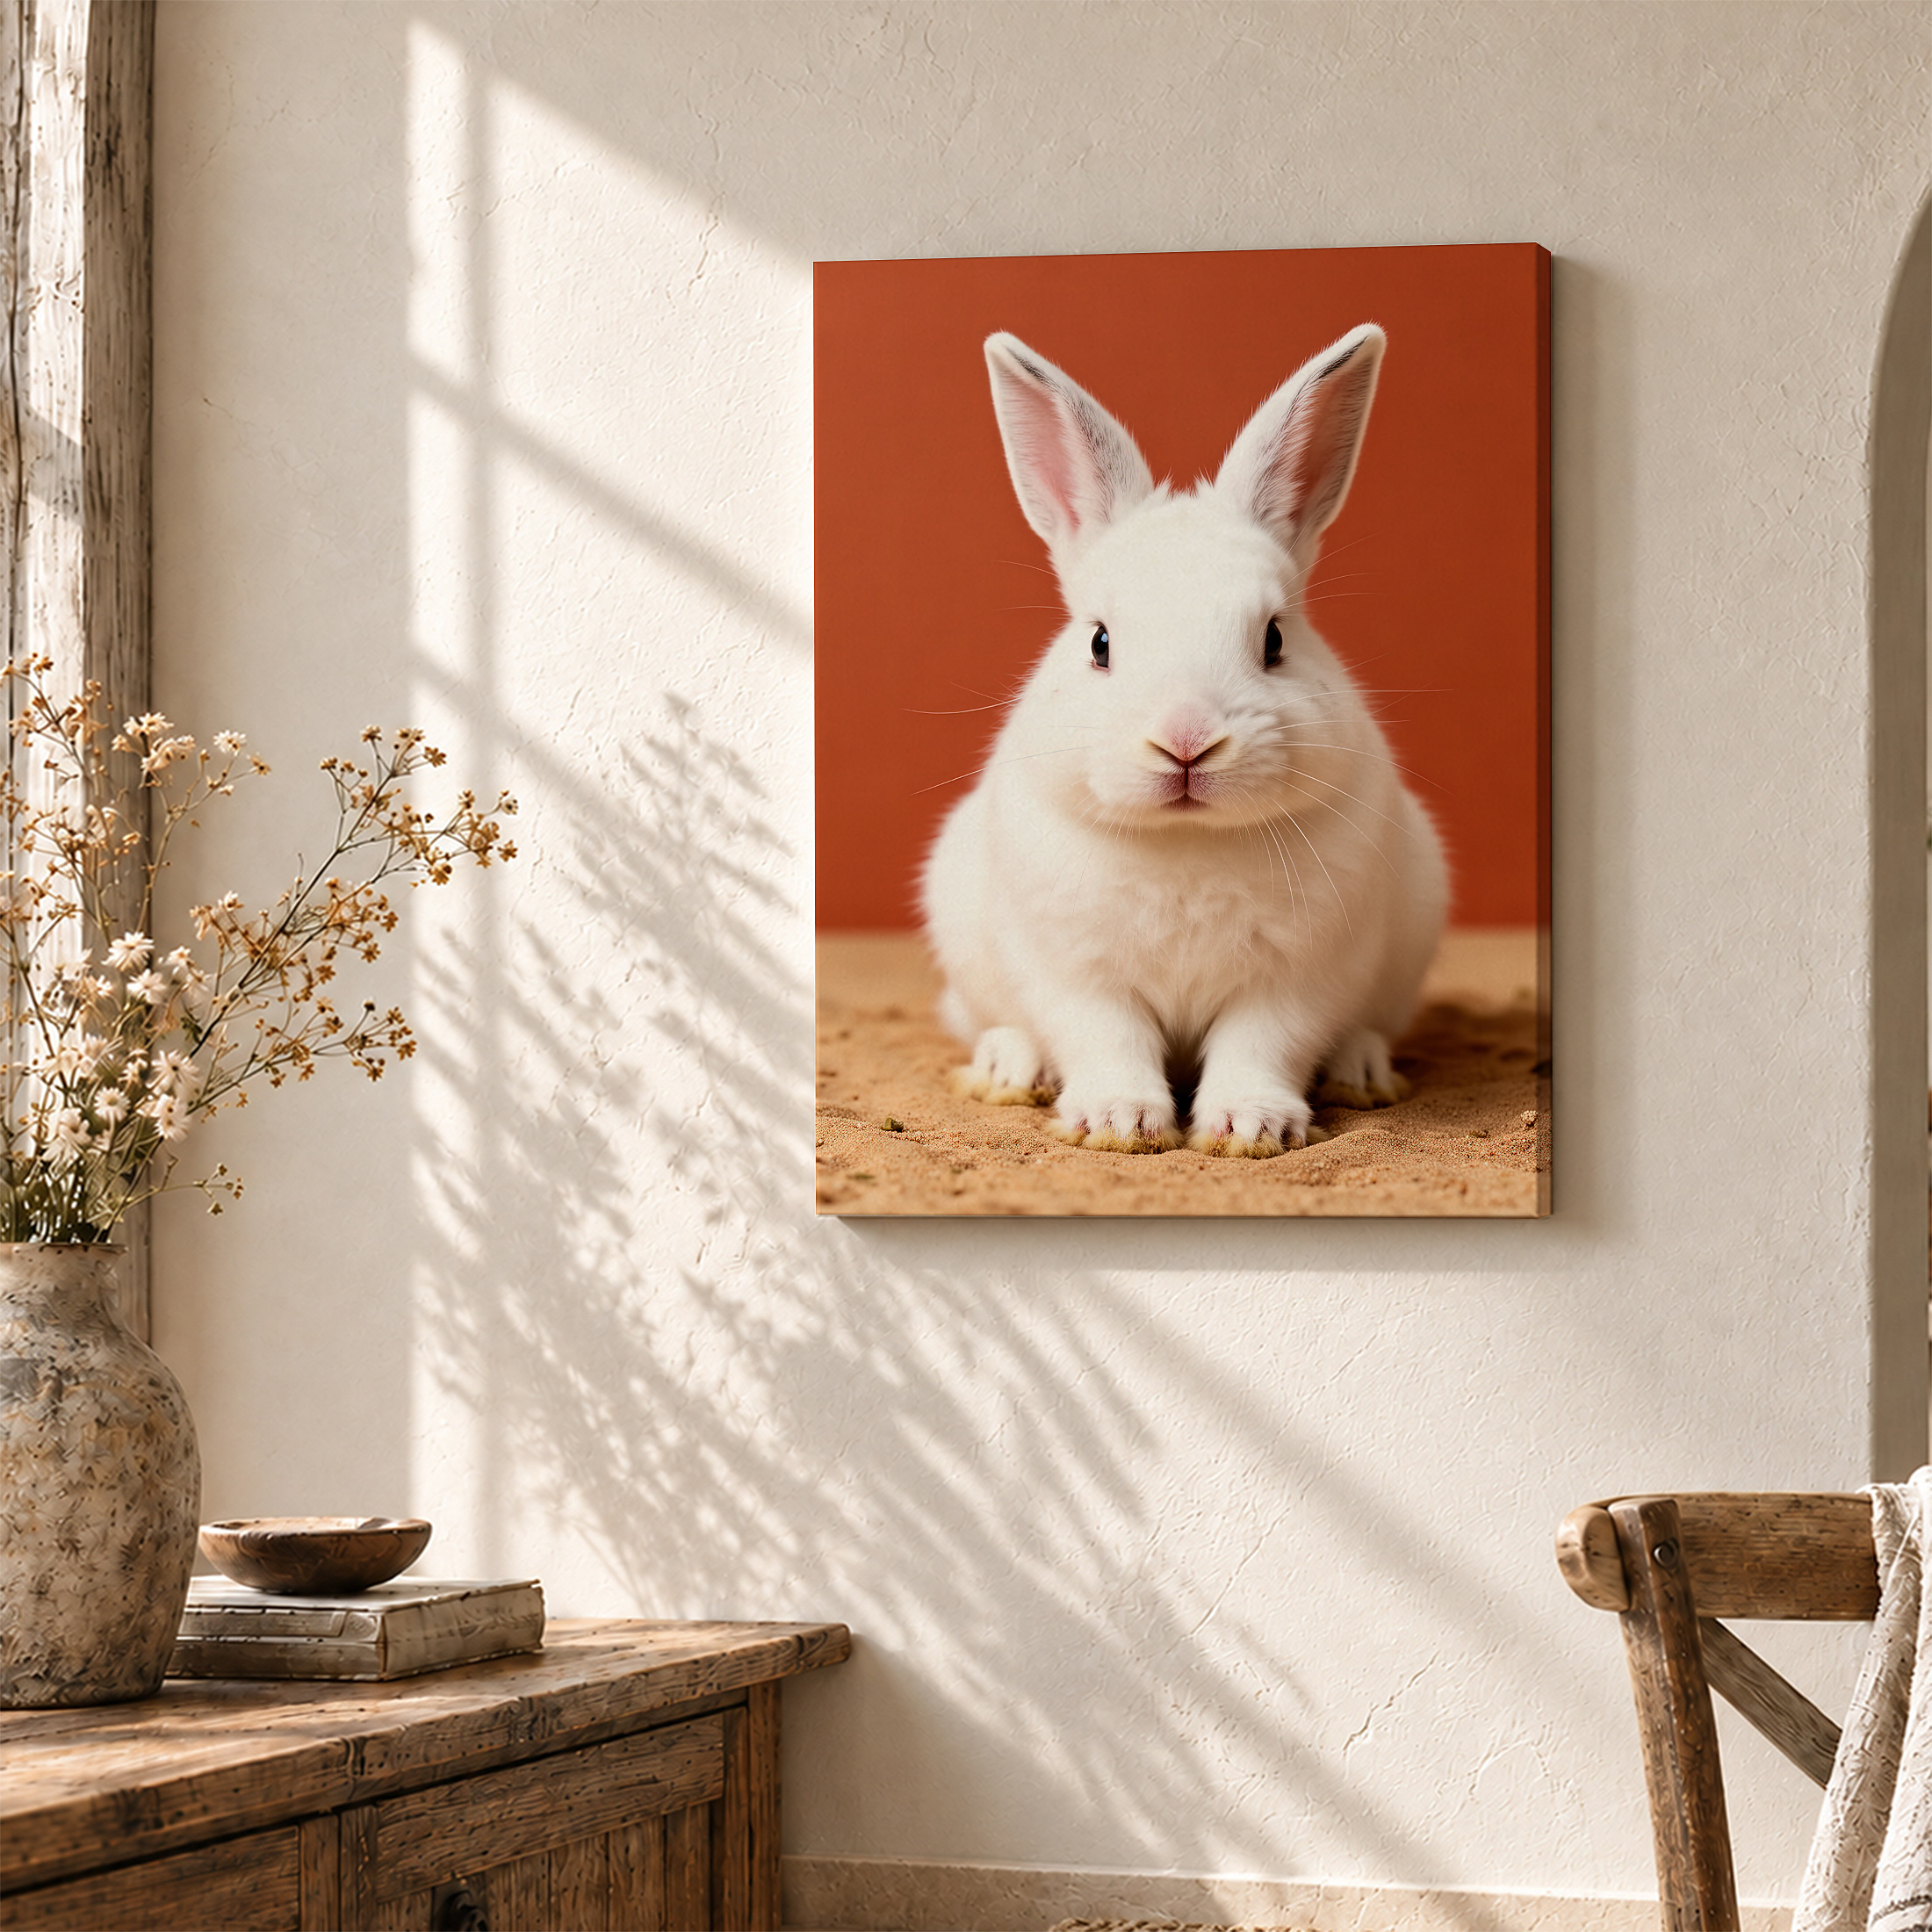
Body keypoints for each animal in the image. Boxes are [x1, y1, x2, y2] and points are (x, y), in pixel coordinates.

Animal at [920, 322, 1447, 1157]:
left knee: (1360, 1031)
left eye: (1274, 640)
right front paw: (1118, 1122)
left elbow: (1262, 1045)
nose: (1187, 741)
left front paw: (1250, 1127)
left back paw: (1361, 1074)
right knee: (996, 1025)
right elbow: (1107, 1039)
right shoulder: (1075, 973)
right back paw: (1009, 1069)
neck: (1187, 839)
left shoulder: (1299, 977)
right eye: (1100, 642)